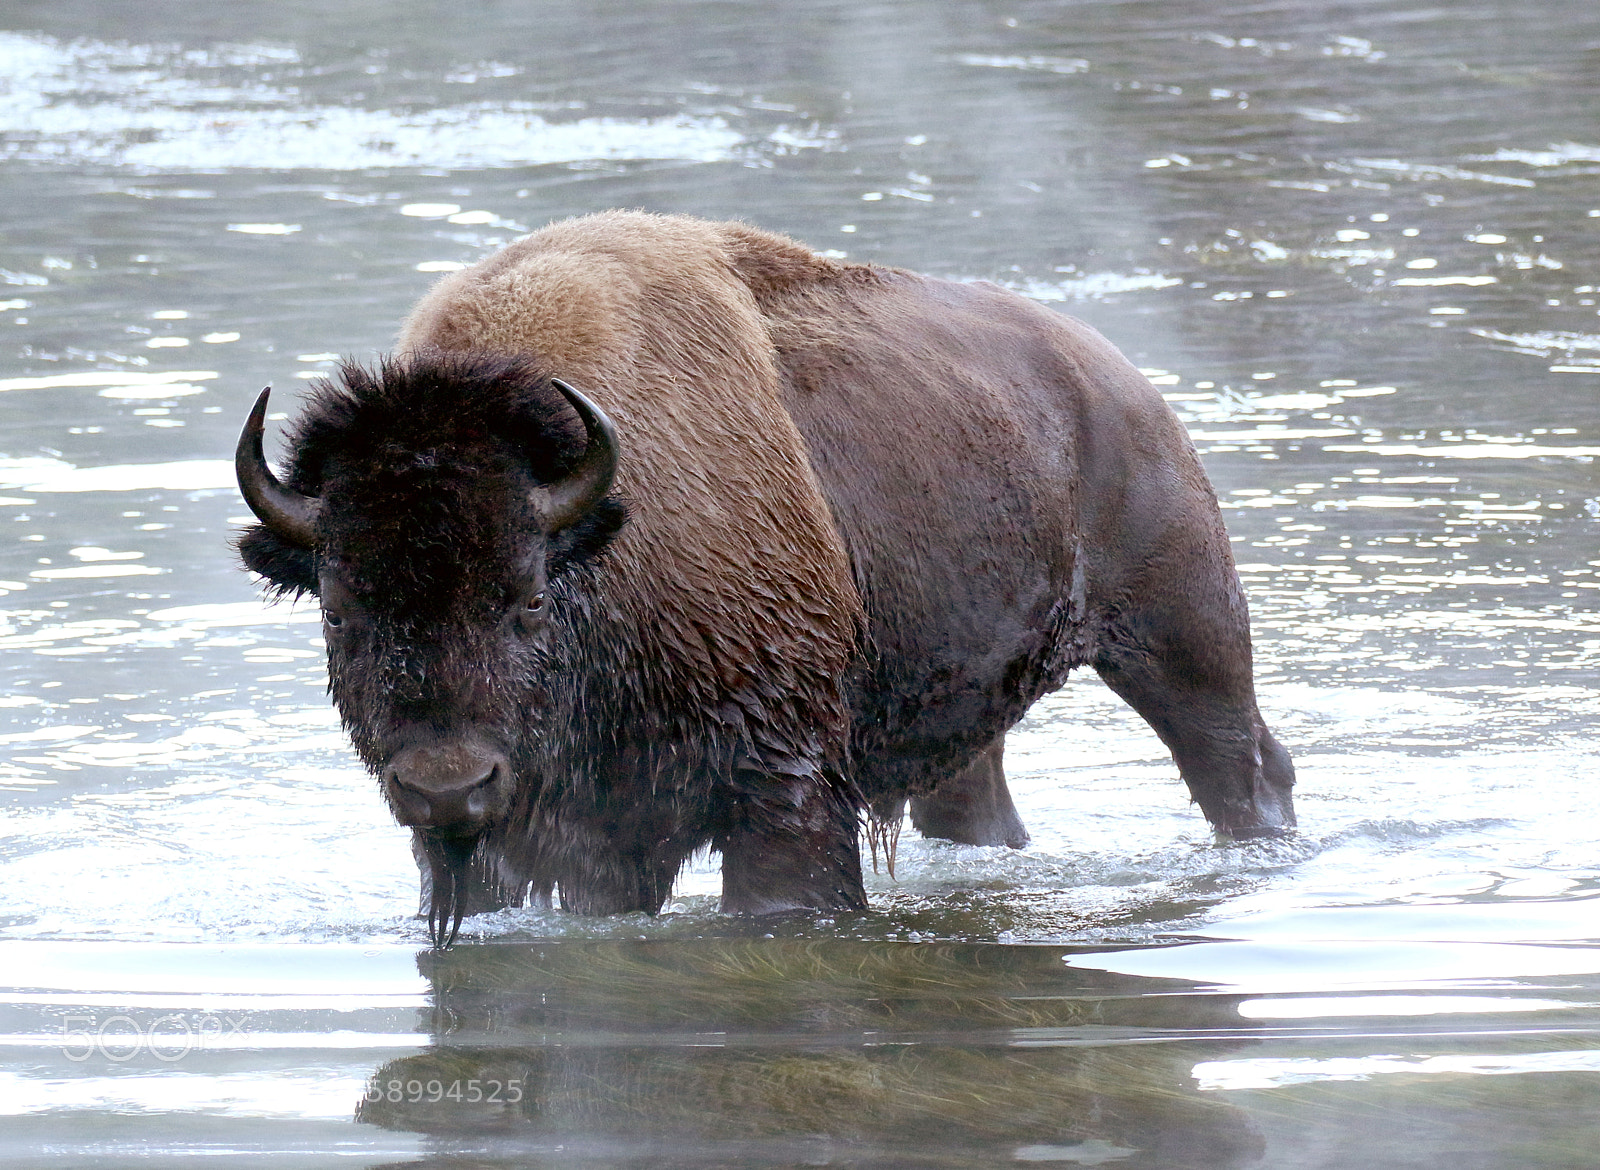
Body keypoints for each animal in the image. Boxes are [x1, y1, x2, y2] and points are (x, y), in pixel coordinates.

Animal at [236, 211, 1294, 946]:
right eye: (340, 611)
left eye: (529, 597)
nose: (448, 786)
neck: (600, 542)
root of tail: (1116, 380)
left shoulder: (780, 788)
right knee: (977, 803)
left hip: (1180, 636)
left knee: (1241, 762)